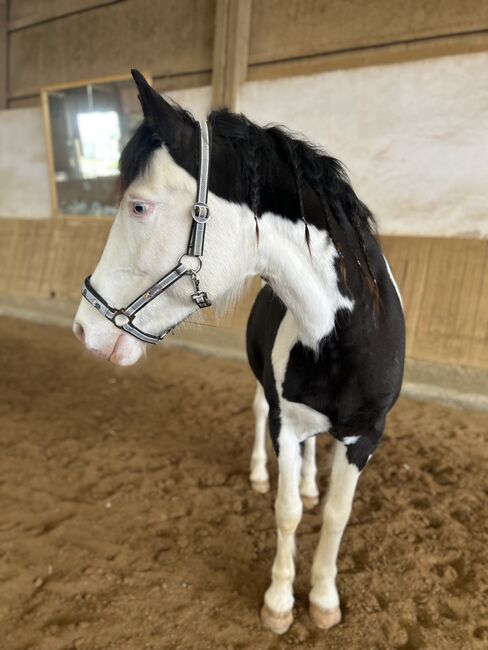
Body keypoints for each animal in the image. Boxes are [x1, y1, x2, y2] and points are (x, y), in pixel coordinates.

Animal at [73, 69, 404, 632]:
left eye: (139, 205)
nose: (83, 329)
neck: (343, 340)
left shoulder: (364, 436)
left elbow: (336, 516)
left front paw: (323, 599)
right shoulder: (284, 424)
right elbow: (288, 511)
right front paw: (279, 602)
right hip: (267, 400)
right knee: (260, 416)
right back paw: (259, 474)